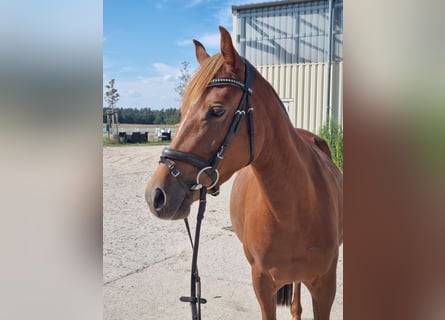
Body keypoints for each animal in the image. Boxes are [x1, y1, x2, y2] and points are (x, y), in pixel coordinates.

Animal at [147, 27, 344, 320]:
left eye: (216, 110)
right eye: (181, 111)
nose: (156, 195)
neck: (295, 209)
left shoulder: (325, 287)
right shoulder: (262, 285)